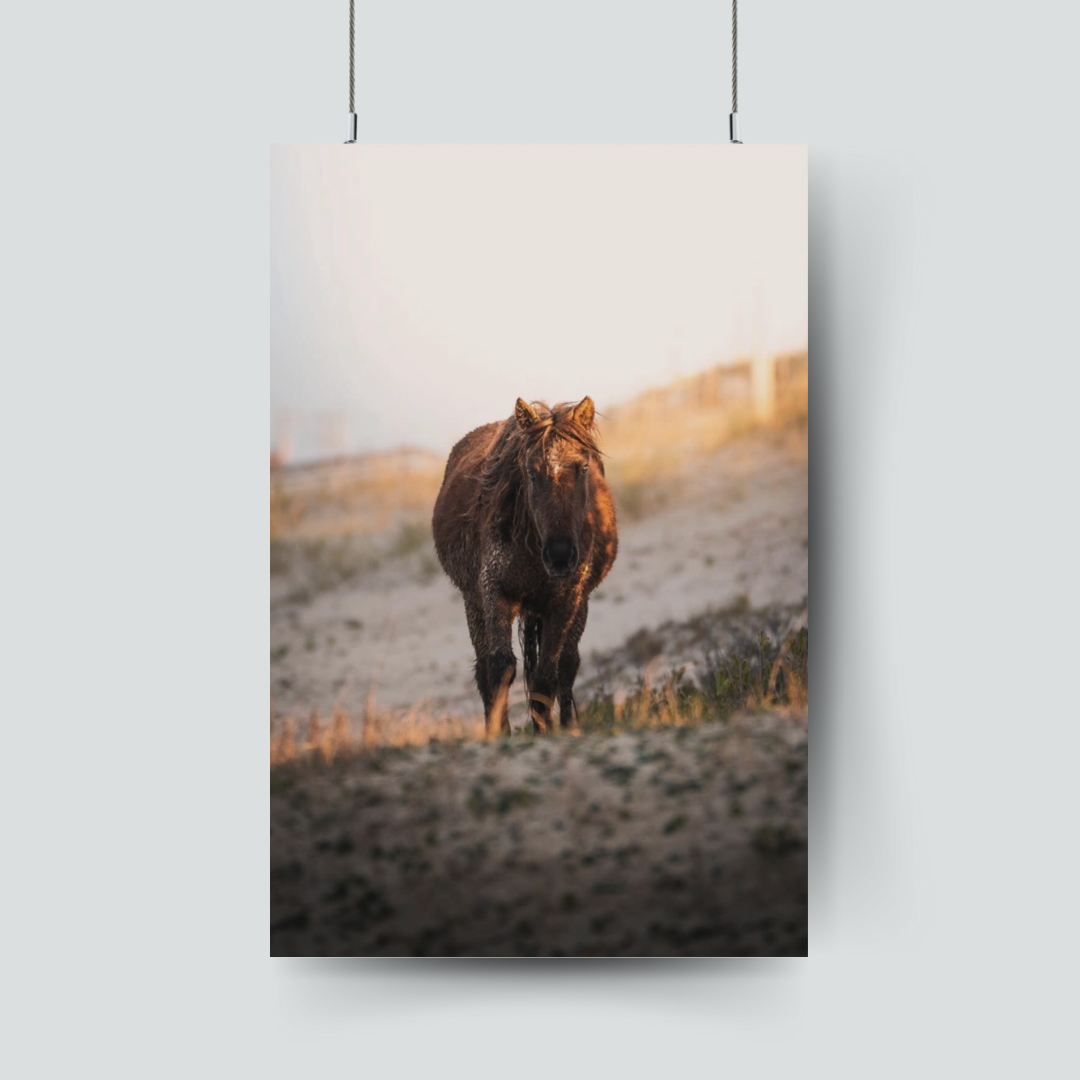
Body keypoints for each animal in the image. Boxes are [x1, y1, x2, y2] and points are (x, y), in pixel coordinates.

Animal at [432, 396, 618, 736]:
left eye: (583, 467)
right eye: (532, 472)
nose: (560, 555)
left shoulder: (566, 602)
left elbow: (547, 676)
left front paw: (544, 731)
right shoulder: (494, 594)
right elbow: (500, 667)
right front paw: (499, 733)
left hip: (578, 606)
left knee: (567, 666)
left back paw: (567, 725)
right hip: (473, 603)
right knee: (485, 668)